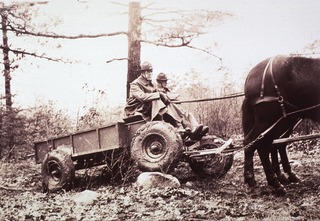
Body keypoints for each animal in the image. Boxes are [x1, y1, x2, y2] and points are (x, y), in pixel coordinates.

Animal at [242, 55, 320, 195]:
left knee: (271, 144)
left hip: (283, 119)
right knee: (253, 143)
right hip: (268, 118)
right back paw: (263, 183)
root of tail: (252, 74)